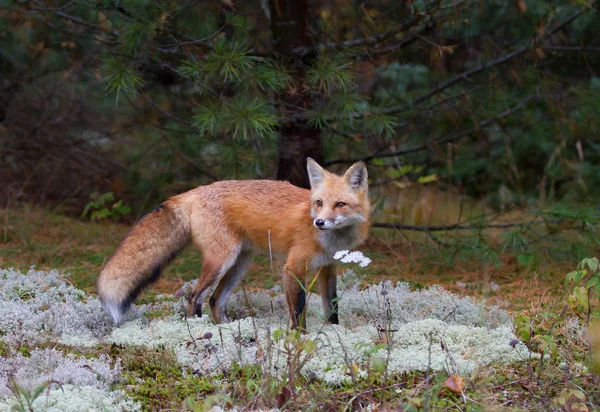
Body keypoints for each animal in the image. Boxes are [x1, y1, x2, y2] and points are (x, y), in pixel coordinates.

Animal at [97, 159, 370, 330]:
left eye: (340, 204)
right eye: (319, 202)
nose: (319, 222)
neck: (333, 241)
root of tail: (192, 192)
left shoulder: (328, 269)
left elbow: (332, 308)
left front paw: (333, 333)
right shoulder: (293, 268)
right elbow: (298, 311)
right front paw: (299, 340)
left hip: (240, 263)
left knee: (215, 301)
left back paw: (228, 332)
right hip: (222, 260)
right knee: (194, 296)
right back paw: (199, 330)